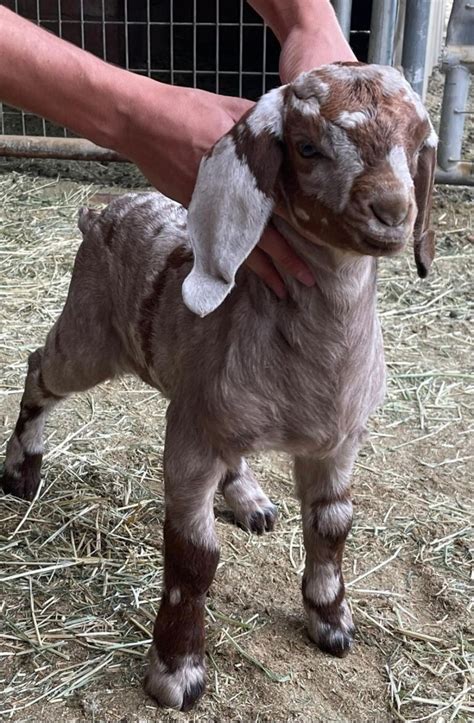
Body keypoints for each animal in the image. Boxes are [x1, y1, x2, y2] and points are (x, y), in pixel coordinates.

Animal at [1, 65, 436, 708]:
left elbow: (332, 526)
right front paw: (176, 670)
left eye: (414, 141)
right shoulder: (190, 440)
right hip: (90, 335)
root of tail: (103, 211)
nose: (391, 211)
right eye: (307, 148)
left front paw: (332, 621)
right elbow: (194, 557)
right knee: (39, 367)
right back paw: (21, 470)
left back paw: (250, 499)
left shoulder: (338, 442)